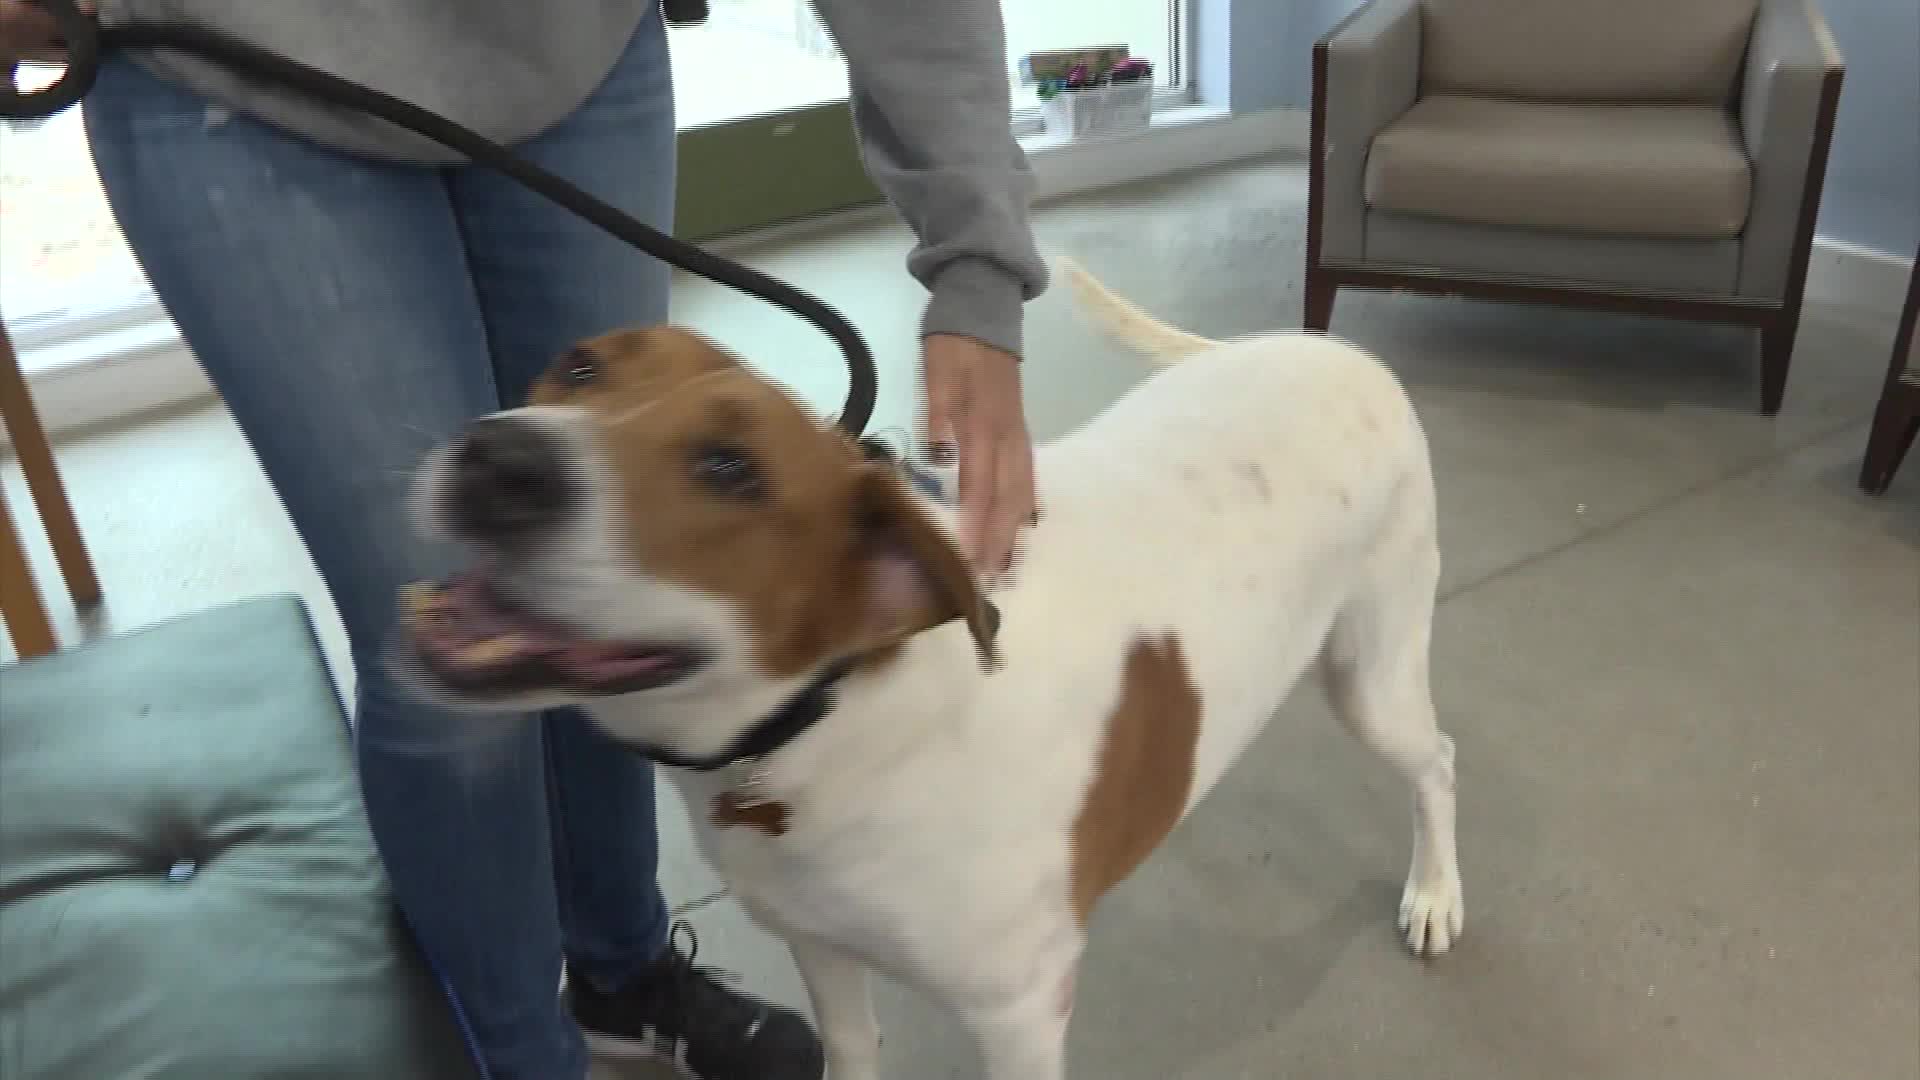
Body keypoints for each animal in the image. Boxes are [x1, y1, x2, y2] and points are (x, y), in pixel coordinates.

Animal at [397, 259, 1464, 1079]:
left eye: (730, 469)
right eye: (577, 366)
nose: (495, 456)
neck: (835, 722)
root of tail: (1334, 351)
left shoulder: (1019, 1018)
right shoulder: (822, 953)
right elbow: (851, 1047)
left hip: (1372, 679)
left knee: (1437, 761)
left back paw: (1435, 894)